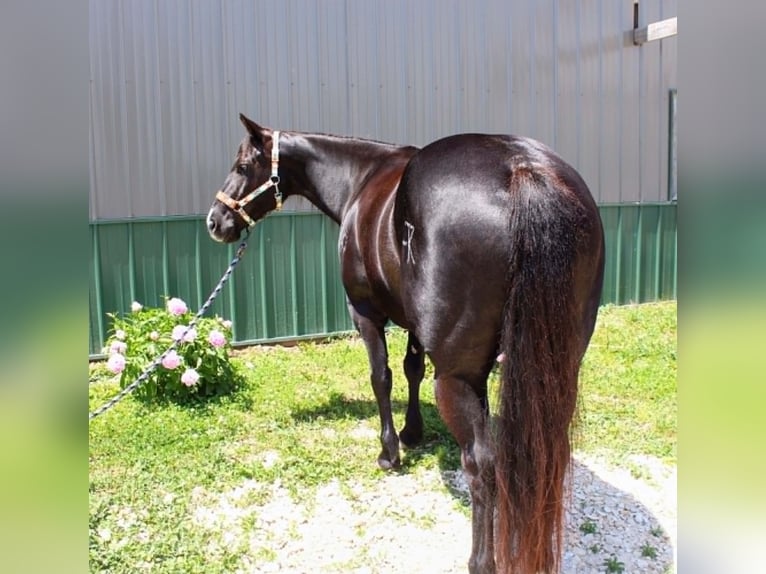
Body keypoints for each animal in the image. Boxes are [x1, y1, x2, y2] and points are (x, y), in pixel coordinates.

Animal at [206, 114, 605, 574]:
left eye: (241, 165)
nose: (215, 221)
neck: (361, 177)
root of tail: (522, 172)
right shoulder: (414, 322)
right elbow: (412, 368)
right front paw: (412, 431)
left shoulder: (365, 312)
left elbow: (381, 376)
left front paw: (390, 451)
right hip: (558, 370)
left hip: (458, 378)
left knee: (482, 462)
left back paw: (481, 559)